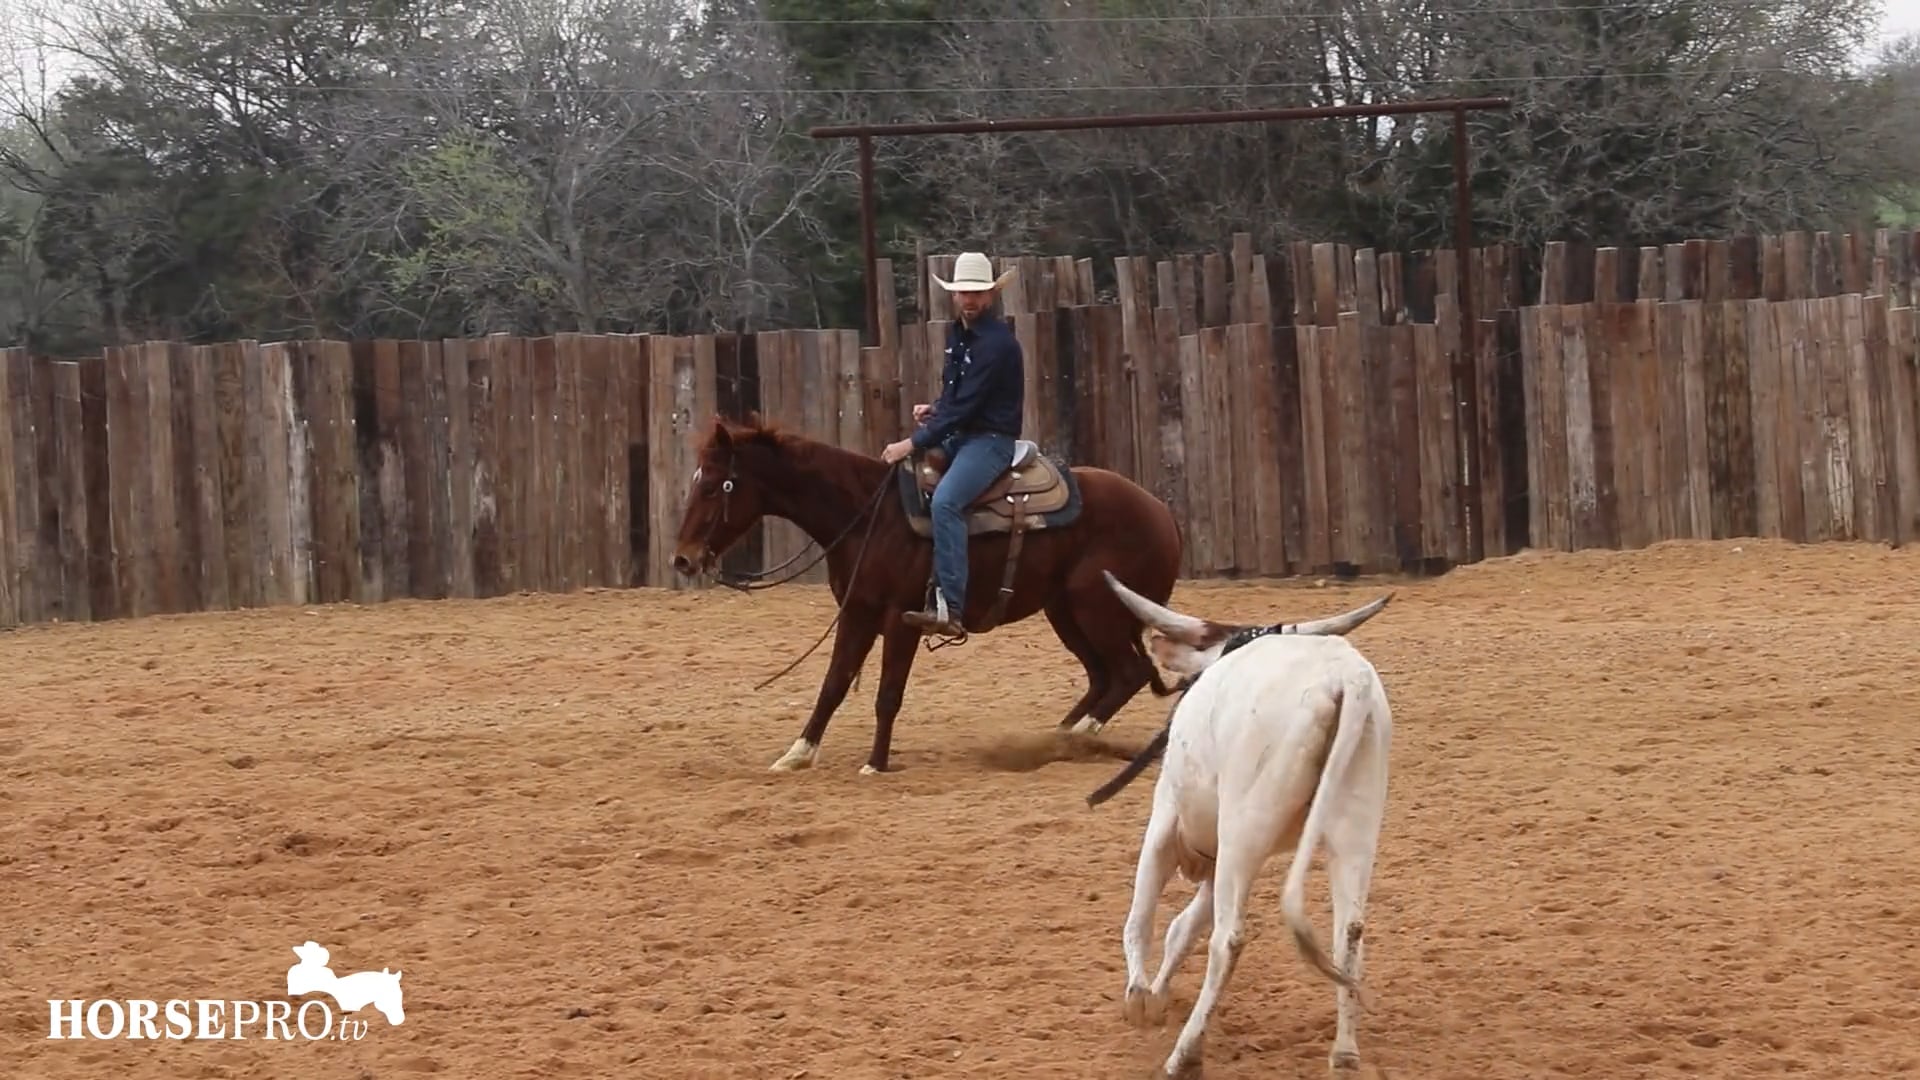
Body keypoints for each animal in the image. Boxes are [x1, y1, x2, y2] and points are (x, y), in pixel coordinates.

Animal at [670, 412, 1186, 776]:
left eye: (716, 486)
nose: (683, 559)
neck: (868, 516)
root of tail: (1163, 513)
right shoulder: (858, 612)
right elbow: (833, 684)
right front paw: (797, 754)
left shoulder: (901, 617)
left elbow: (887, 694)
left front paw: (875, 763)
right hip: (1064, 610)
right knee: (1104, 677)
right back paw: (1059, 739)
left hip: (1098, 609)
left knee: (1128, 673)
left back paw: (1072, 740)